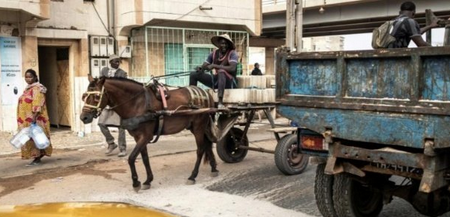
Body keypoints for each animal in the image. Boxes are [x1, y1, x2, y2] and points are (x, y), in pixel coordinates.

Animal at [81, 76, 221, 192]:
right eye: (84, 96)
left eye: (97, 97)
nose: (84, 117)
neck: (137, 102)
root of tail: (206, 93)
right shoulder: (138, 137)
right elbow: (145, 158)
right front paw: (148, 180)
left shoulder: (145, 136)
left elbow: (131, 158)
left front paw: (136, 182)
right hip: (196, 127)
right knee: (207, 145)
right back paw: (214, 168)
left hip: (198, 127)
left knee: (200, 149)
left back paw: (193, 176)